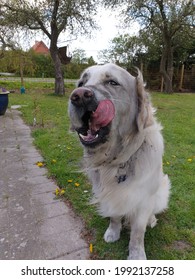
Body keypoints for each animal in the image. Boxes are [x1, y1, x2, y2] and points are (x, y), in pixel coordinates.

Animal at [68, 63, 171, 260]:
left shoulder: (144, 199)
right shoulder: (110, 195)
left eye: (112, 82)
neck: (118, 159)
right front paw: (113, 232)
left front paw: (136, 255)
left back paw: (152, 220)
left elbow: (138, 232)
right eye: (81, 83)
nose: (79, 95)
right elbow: (115, 217)